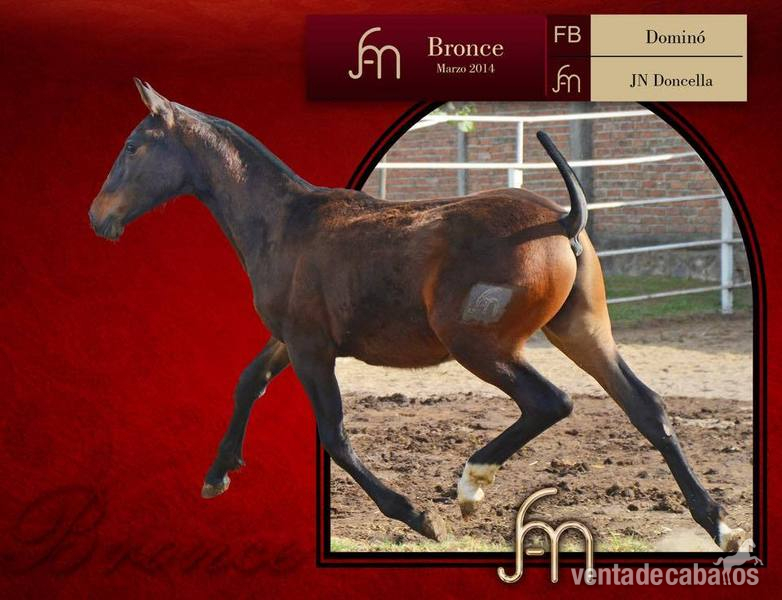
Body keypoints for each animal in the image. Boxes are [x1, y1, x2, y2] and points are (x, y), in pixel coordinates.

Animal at [89, 79, 744, 550]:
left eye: (131, 147)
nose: (99, 216)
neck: (285, 225)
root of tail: (562, 221)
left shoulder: (311, 348)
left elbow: (335, 435)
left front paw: (418, 517)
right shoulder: (292, 339)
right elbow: (248, 383)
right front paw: (216, 474)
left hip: (479, 345)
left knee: (550, 402)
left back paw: (471, 486)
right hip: (582, 330)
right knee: (647, 408)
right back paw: (720, 525)